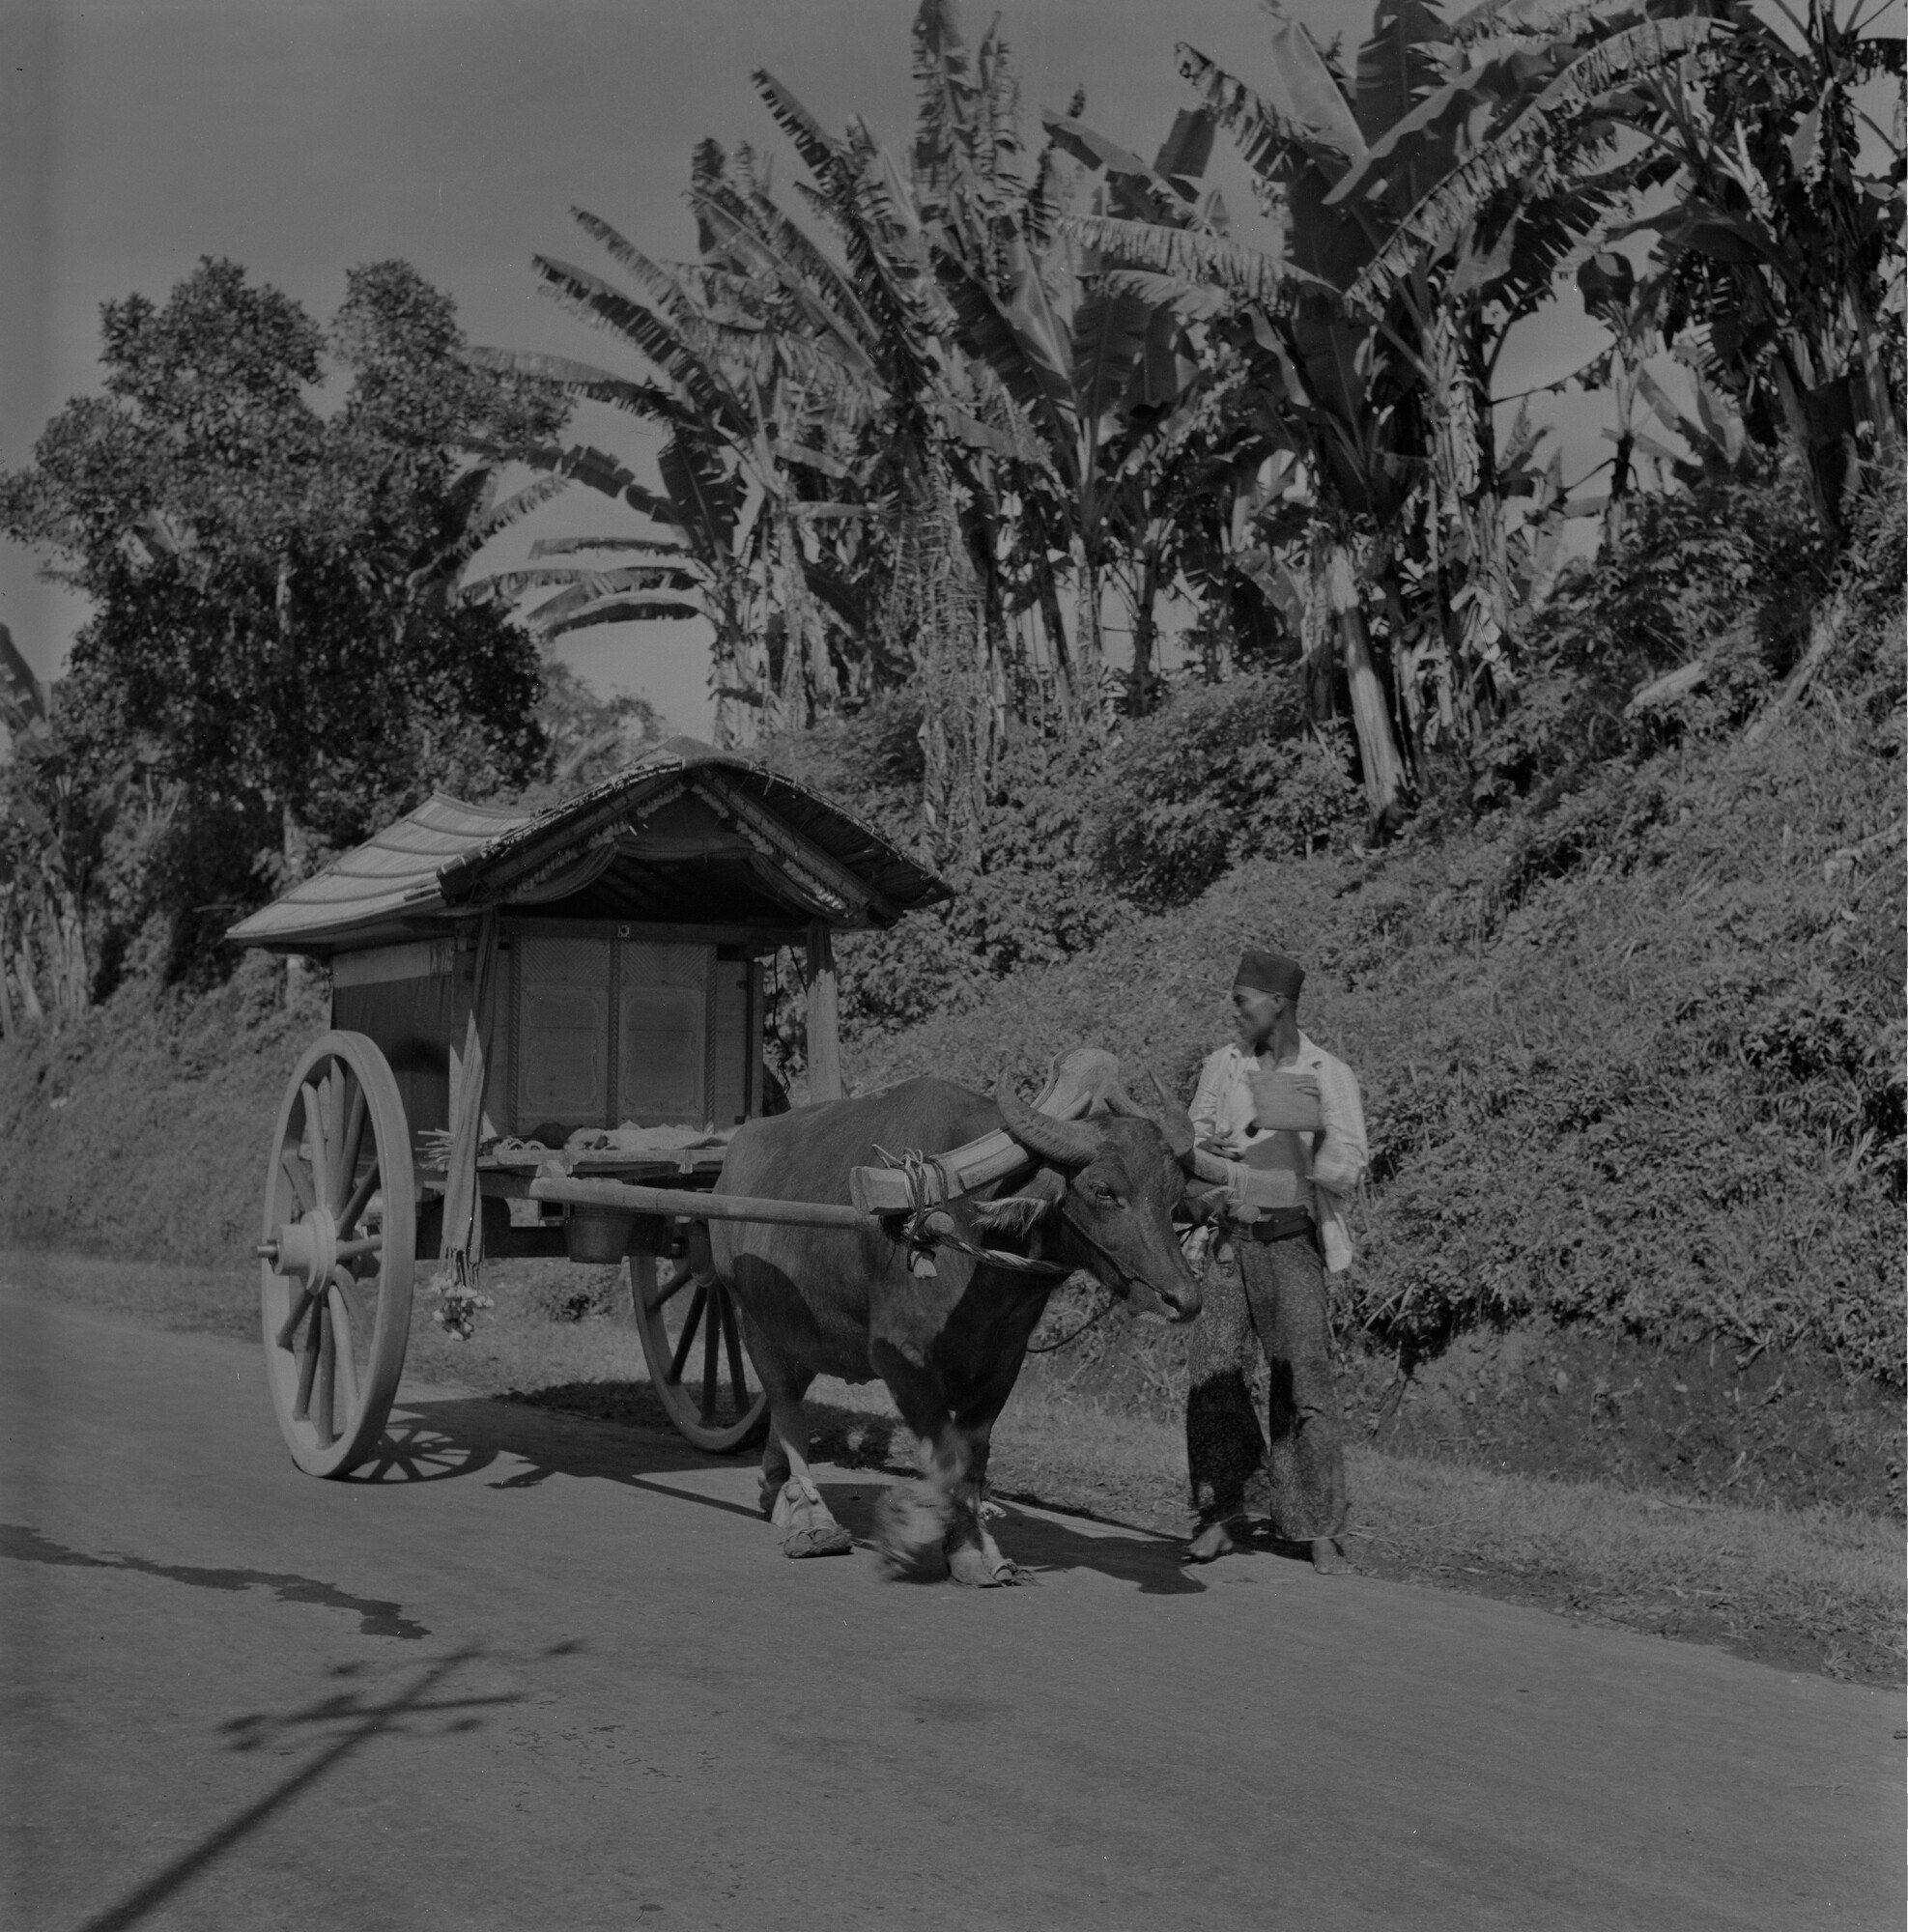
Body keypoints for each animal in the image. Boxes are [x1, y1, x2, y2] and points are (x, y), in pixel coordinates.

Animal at [706, 1074, 1197, 1584]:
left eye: (1175, 1194)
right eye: (1103, 1190)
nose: (1182, 1299)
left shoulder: (1003, 1365)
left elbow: (973, 1458)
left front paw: (971, 1546)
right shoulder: (899, 1356)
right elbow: (947, 1454)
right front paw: (907, 1527)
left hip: (803, 1338)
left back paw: (776, 1490)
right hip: (752, 1321)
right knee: (787, 1409)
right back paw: (810, 1513)